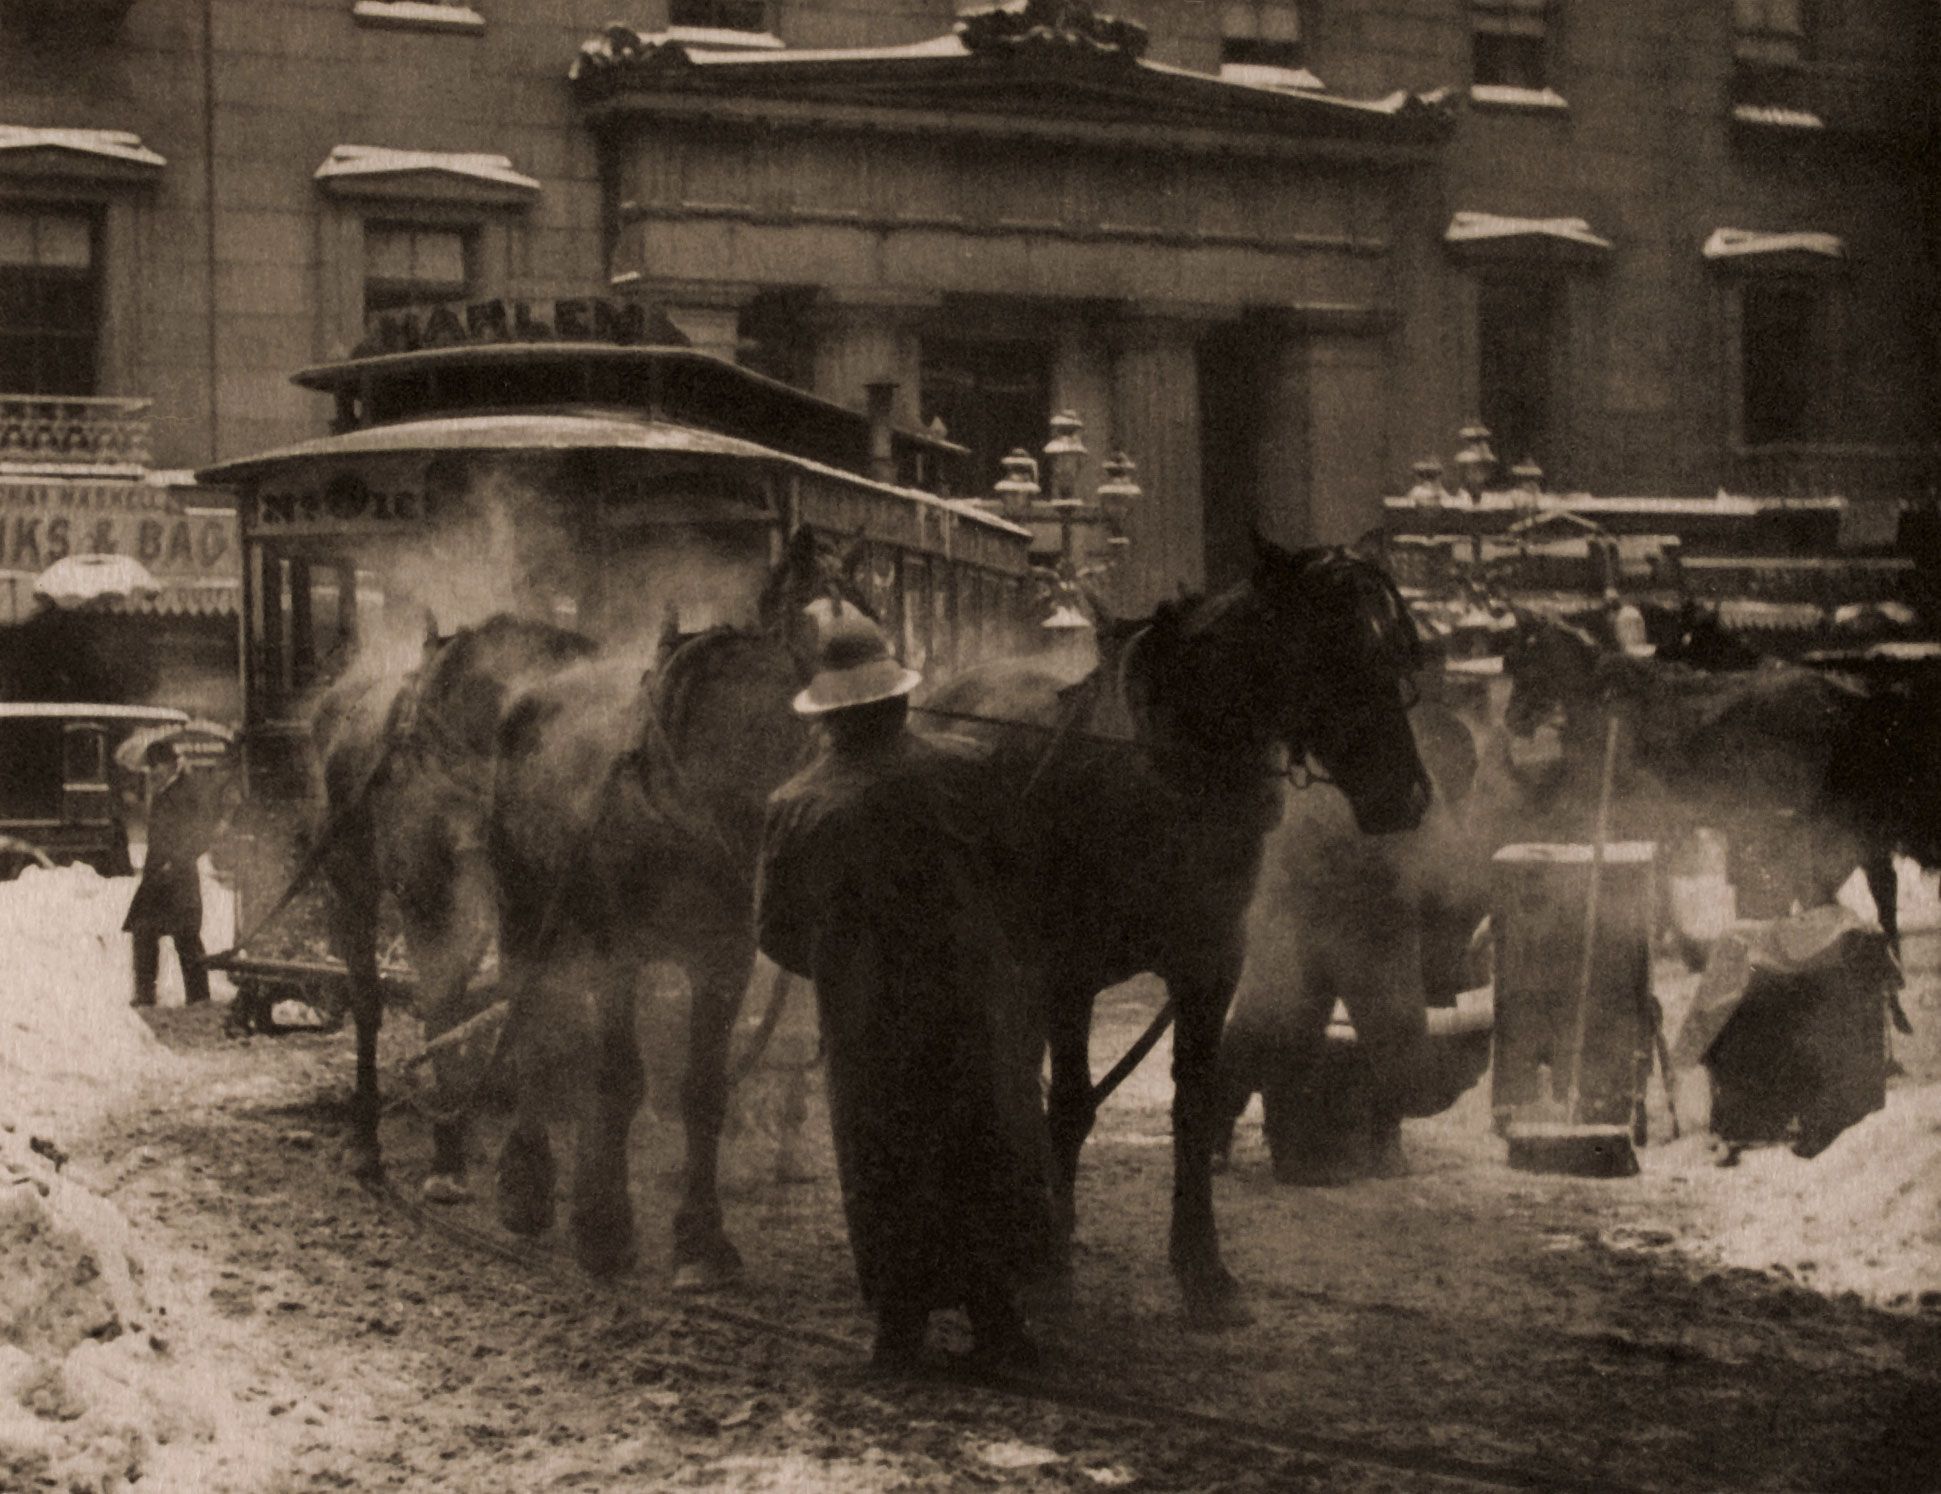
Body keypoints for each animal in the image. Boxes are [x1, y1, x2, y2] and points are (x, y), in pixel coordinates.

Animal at [308, 613, 597, 1179]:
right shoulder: (428, 891)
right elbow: (440, 1001)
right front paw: (448, 1160)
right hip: (351, 876)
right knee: (368, 998)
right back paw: (367, 1135)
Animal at [489, 523, 869, 1272]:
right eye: (828, 645)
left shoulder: (723, 959)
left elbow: (702, 1090)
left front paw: (700, 1237)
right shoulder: (618, 953)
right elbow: (619, 1078)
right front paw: (604, 1227)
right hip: (527, 907)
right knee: (534, 1024)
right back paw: (528, 1181)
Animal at [916, 531, 1436, 1319]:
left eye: (1392, 650)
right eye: (1334, 650)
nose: (1408, 796)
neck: (1160, 778)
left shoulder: (1207, 969)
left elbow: (1192, 1104)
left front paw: (1203, 1272)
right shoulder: (1069, 973)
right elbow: (1071, 1105)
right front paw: (1052, 1264)